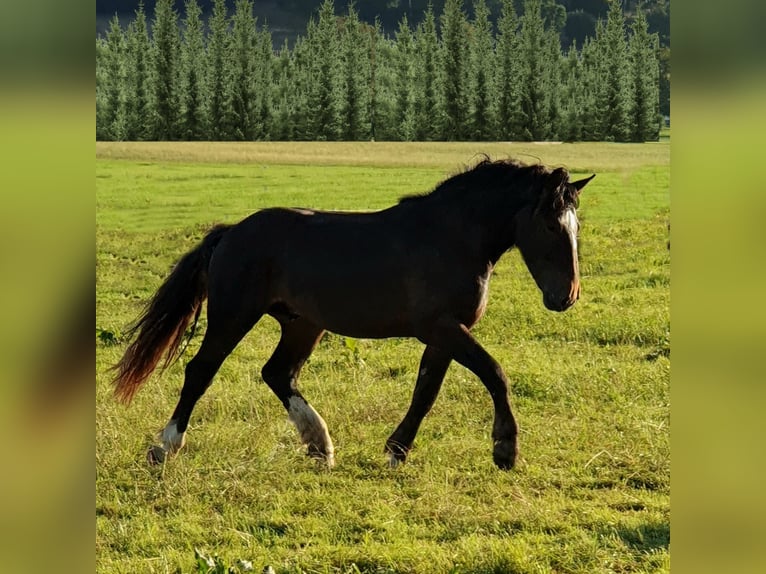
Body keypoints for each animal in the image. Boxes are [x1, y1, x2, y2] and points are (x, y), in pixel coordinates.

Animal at [111, 159, 596, 472]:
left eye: (577, 226)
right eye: (551, 224)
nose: (566, 297)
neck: (452, 237)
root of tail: (231, 232)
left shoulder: (444, 334)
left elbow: (426, 392)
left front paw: (397, 450)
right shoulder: (442, 327)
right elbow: (495, 373)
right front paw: (505, 449)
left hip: (303, 324)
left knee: (278, 373)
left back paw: (319, 445)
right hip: (233, 316)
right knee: (201, 371)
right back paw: (166, 447)